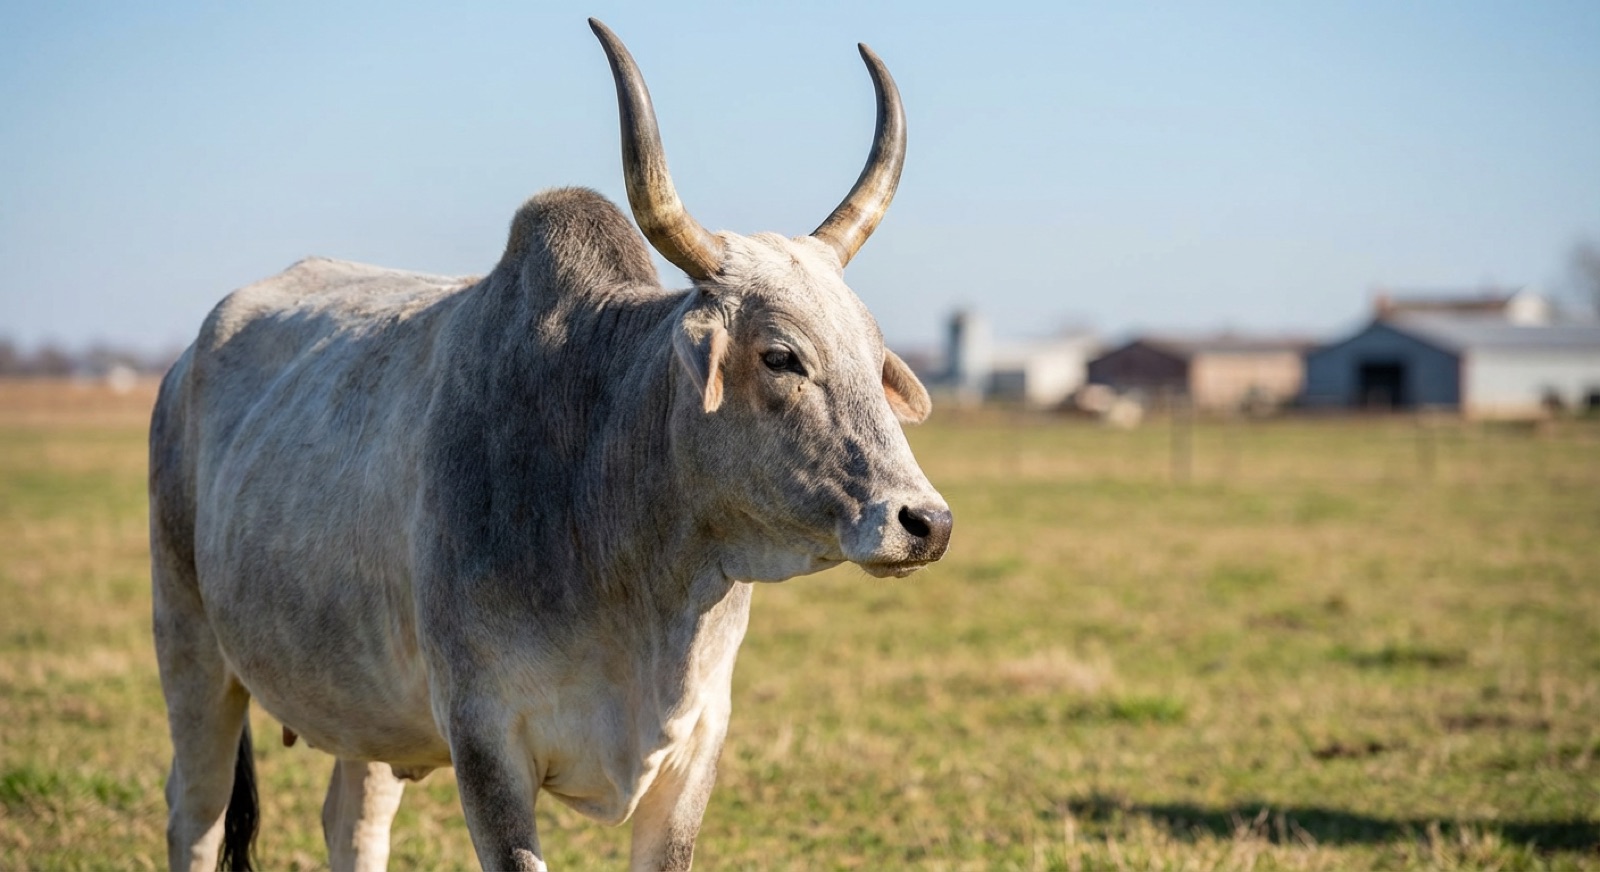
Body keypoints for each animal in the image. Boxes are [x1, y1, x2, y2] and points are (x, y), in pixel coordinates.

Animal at [150, 18, 951, 872]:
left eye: (872, 356)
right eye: (780, 356)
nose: (926, 522)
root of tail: (186, 361)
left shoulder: (694, 751)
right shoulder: (486, 742)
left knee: (351, 820)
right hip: (190, 648)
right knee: (195, 813)